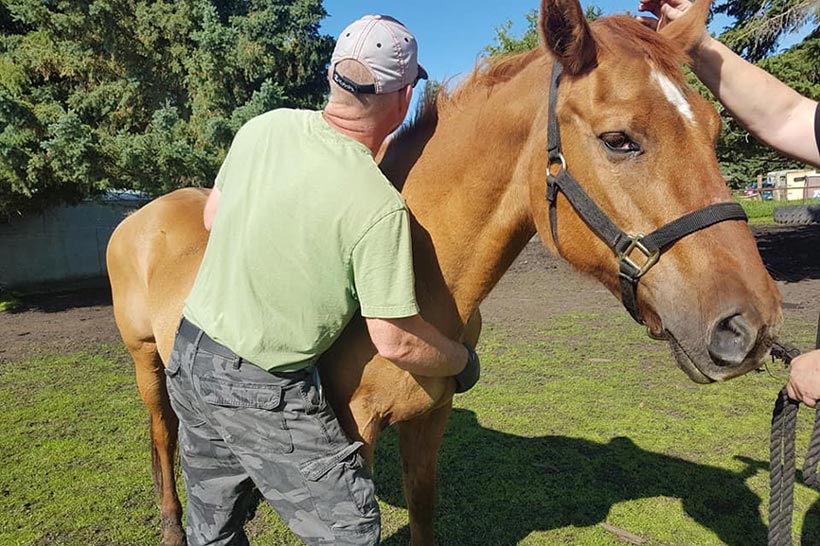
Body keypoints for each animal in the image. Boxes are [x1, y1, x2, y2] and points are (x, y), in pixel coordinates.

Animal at [107, 1, 780, 544]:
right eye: (619, 140)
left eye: (714, 128)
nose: (749, 326)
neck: (423, 283)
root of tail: (143, 213)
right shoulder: (353, 437)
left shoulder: (428, 423)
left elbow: (425, 517)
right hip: (147, 363)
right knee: (164, 438)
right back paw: (172, 524)